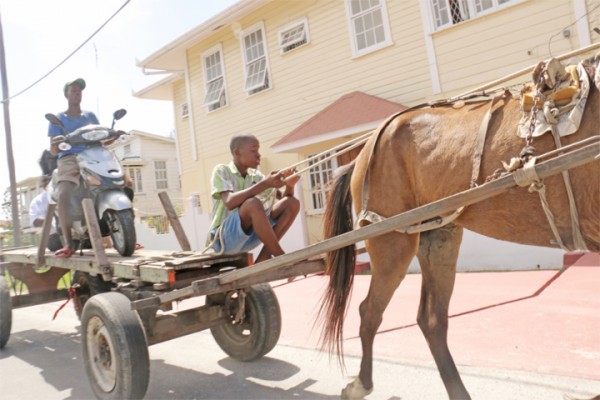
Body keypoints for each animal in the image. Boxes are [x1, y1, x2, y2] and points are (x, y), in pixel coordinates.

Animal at [324, 57, 600, 400]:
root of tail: (362, 152)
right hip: (390, 241)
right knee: (369, 311)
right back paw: (361, 383)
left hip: (438, 236)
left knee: (431, 319)